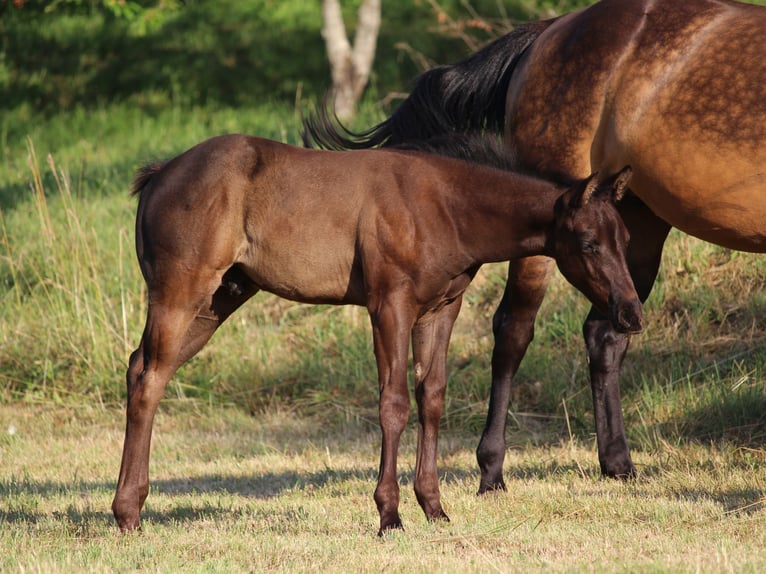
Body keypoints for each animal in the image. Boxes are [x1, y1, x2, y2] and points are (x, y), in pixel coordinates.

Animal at [111, 133, 642, 535]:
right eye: (588, 243)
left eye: (626, 238)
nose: (631, 314)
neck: (444, 205)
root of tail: (160, 174)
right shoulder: (390, 305)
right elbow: (394, 403)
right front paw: (389, 515)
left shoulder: (440, 310)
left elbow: (432, 398)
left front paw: (434, 507)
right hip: (181, 294)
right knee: (149, 378)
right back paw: (128, 514)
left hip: (218, 301)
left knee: (141, 367)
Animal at [303, 0, 766, 492]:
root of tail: (552, 30)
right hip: (546, 230)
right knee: (514, 330)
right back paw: (492, 468)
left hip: (638, 228)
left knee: (605, 332)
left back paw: (617, 463)